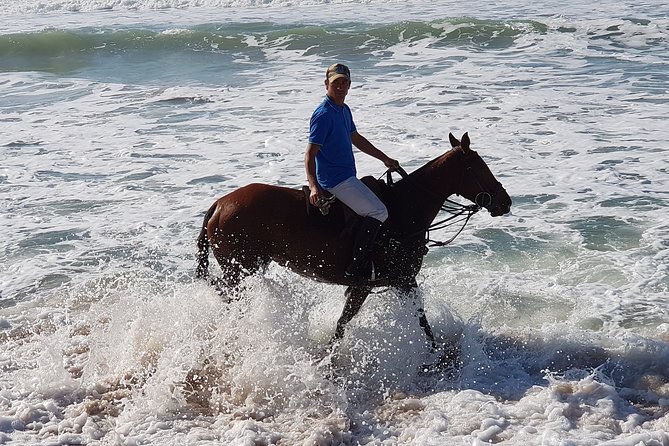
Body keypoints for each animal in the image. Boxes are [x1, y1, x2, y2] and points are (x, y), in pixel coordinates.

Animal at [196, 132, 508, 348]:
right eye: (478, 167)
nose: (505, 202)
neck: (404, 210)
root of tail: (219, 205)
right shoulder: (373, 283)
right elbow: (346, 323)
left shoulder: (401, 281)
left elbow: (419, 320)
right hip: (238, 270)